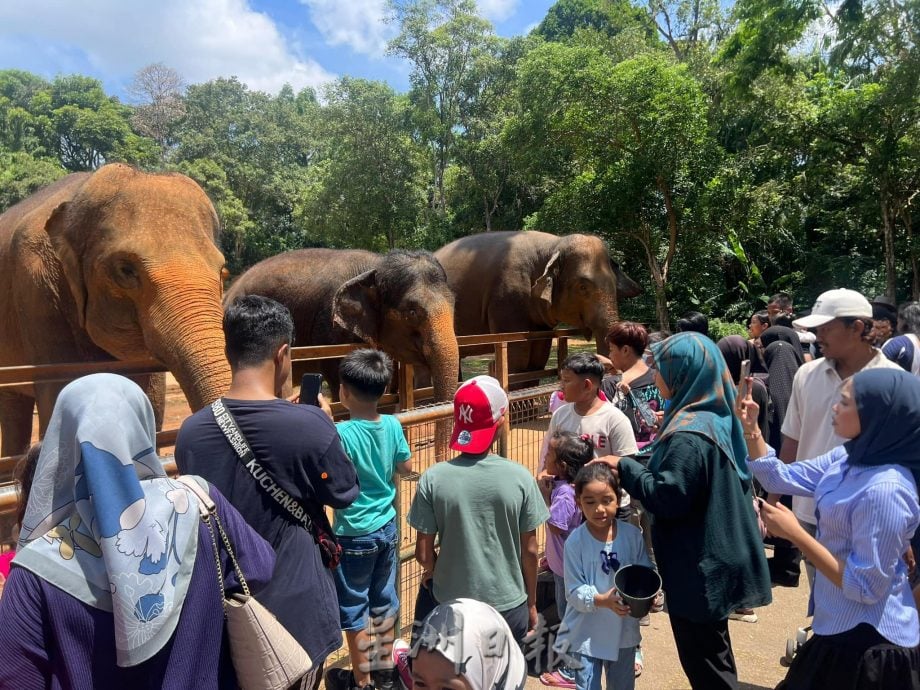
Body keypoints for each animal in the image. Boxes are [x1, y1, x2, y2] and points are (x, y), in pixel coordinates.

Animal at [436, 228, 640, 374]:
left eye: (614, 284)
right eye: (582, 287)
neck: (554, 244)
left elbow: (538, 357)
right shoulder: (506, 298)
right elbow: (518, 357)